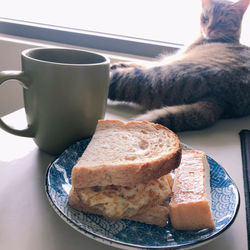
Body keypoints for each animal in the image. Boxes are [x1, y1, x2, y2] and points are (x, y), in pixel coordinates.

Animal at [108, 0, 249, 132]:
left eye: (222, 21)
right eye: (205, 18)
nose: (209, 29)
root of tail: (220, 99)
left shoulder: (172, 59)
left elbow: (144, 64)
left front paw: (117, 65)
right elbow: (142, 63)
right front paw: (118, 63)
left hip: (156, 76)